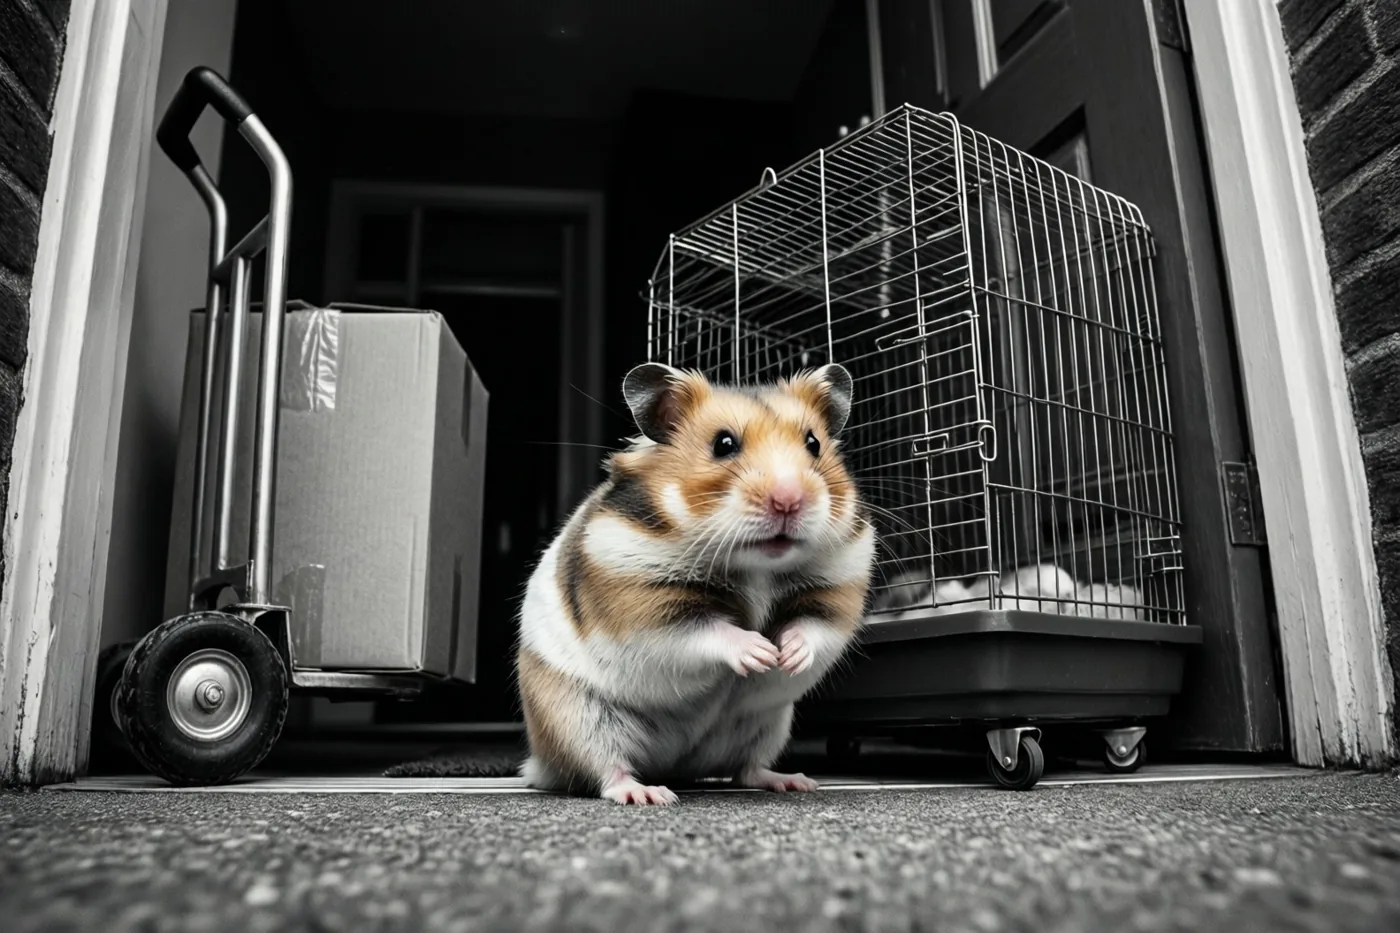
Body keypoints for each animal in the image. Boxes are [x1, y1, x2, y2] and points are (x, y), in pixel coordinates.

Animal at [516, 362, 875, 805]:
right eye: (723, 444)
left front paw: (786, 657)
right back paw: (648, 794)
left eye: (813, 443)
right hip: (577, 716)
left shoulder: (839, 586)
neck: (756, 565)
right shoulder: (642, 605)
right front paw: (760, 653)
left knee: (746, 770)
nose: (789, 500)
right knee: (605, 769)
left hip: (767, 725)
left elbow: (813, 628)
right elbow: (706, 631)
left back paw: (794, 780)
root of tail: (676, 764)